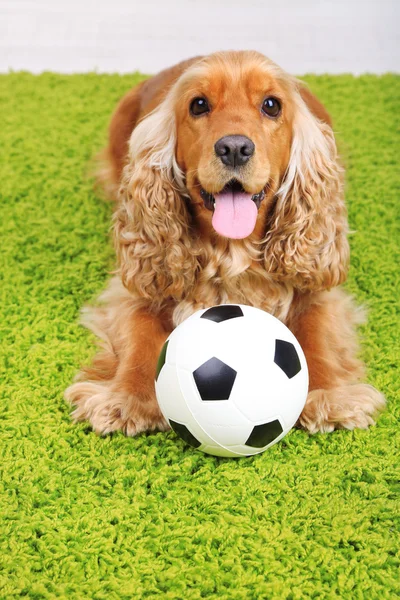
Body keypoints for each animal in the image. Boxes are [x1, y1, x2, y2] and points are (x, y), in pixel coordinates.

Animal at [64, 50, 386, 436]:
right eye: (199, 104)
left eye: (271, 105)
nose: (234, 148)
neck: (232, 251)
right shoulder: (132, 288)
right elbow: (138, 336)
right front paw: (126, 399)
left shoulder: (319, 290)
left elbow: (318, 333)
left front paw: (330, 396)